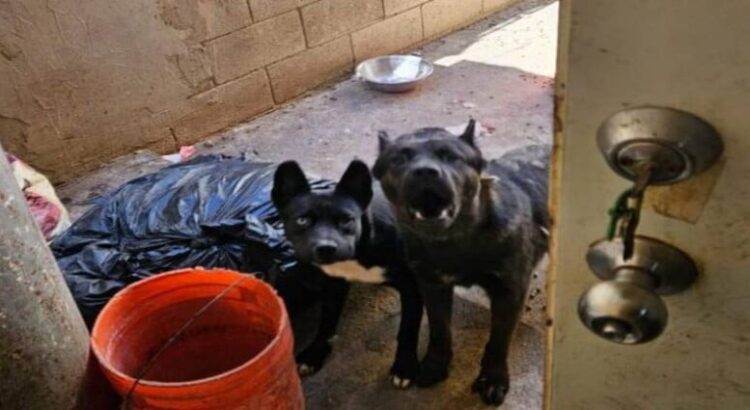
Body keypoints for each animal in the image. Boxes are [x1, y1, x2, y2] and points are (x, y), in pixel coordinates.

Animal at [272, 159, 426, 388]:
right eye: (302, 220)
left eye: (346, 220)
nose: (326, 248)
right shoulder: (334, 283)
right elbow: (327, 321)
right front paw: (314, 353)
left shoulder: (412, 287)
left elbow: (408, 329)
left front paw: (404, 366)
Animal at [374, 120, 548, 406]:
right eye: (399, 158)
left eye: (450, 156)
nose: (425, 172)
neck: (456, 240)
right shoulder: (433, 287)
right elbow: (439, 330)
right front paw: (435, 364)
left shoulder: (509, 293)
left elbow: (498, 341)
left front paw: (492, 378)